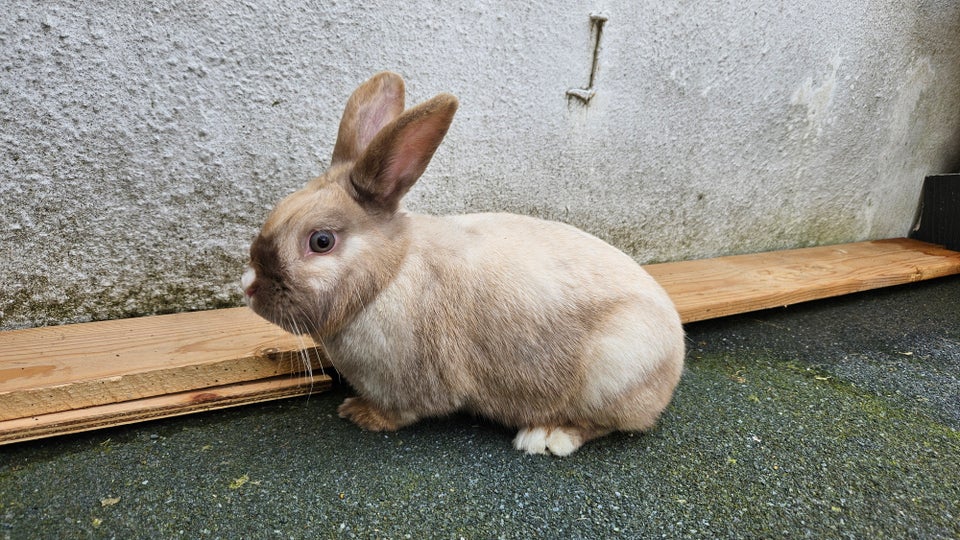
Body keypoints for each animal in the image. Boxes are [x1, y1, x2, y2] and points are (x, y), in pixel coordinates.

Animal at [244, 69, 688, 454]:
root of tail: (673, 359)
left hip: (614, 369)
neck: (388, 276)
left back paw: (546, 437)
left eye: (321, 241)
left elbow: (402, 412)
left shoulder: (409, 384)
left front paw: (360, 414)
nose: (249, 287)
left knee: (605, 423)